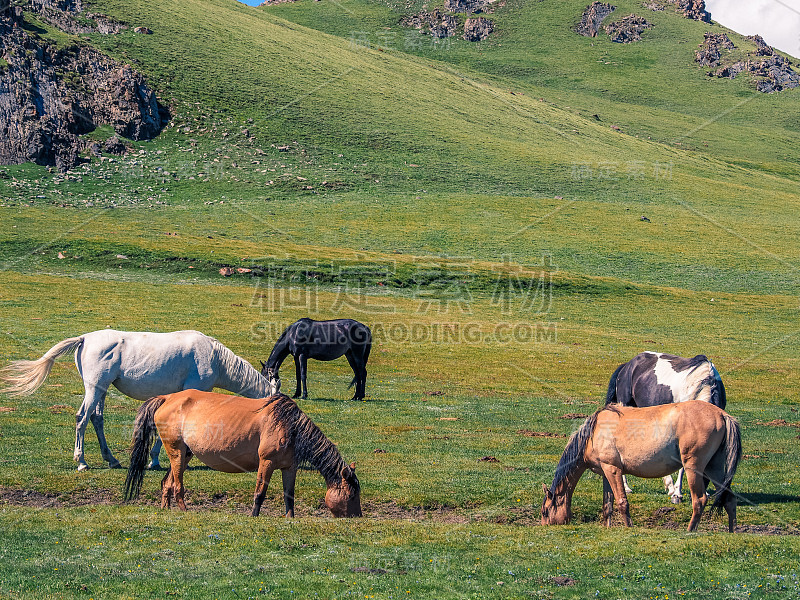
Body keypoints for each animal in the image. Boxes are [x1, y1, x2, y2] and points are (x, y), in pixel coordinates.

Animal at [0, 330, 280, 472]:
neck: (213, 357)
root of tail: (85, 338)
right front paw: (162, 460)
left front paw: (154, 460)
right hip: (93, 388)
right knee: (82, 418)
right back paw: (81, 461)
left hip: (101, 389)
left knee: (96, 418)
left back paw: (111, 459)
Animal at [124, 392, 362, 516]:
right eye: (351, 495)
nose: (357, 516)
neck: (289, 425)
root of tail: (167, 397)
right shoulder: (266, 463)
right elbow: (260, 493)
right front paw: (254, 516)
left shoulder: (289, 467)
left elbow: (289, 495)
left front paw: (290, 518)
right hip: (176, 451)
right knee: (177, 486)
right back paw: (184, 509)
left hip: (185, 453)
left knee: (167, 483)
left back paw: (166, 509)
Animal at [540, 400, 740, 532]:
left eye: (545, 511)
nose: (544, 527)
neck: (593, 433)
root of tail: (721, 414)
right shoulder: (606, 472)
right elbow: (607, 505)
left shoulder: (613, 470)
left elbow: (622, 502)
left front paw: (629, 528)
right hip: (713, 468)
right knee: (729, 499)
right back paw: (731, 532)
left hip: (694, 468)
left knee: (699, 500)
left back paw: (690, 530)